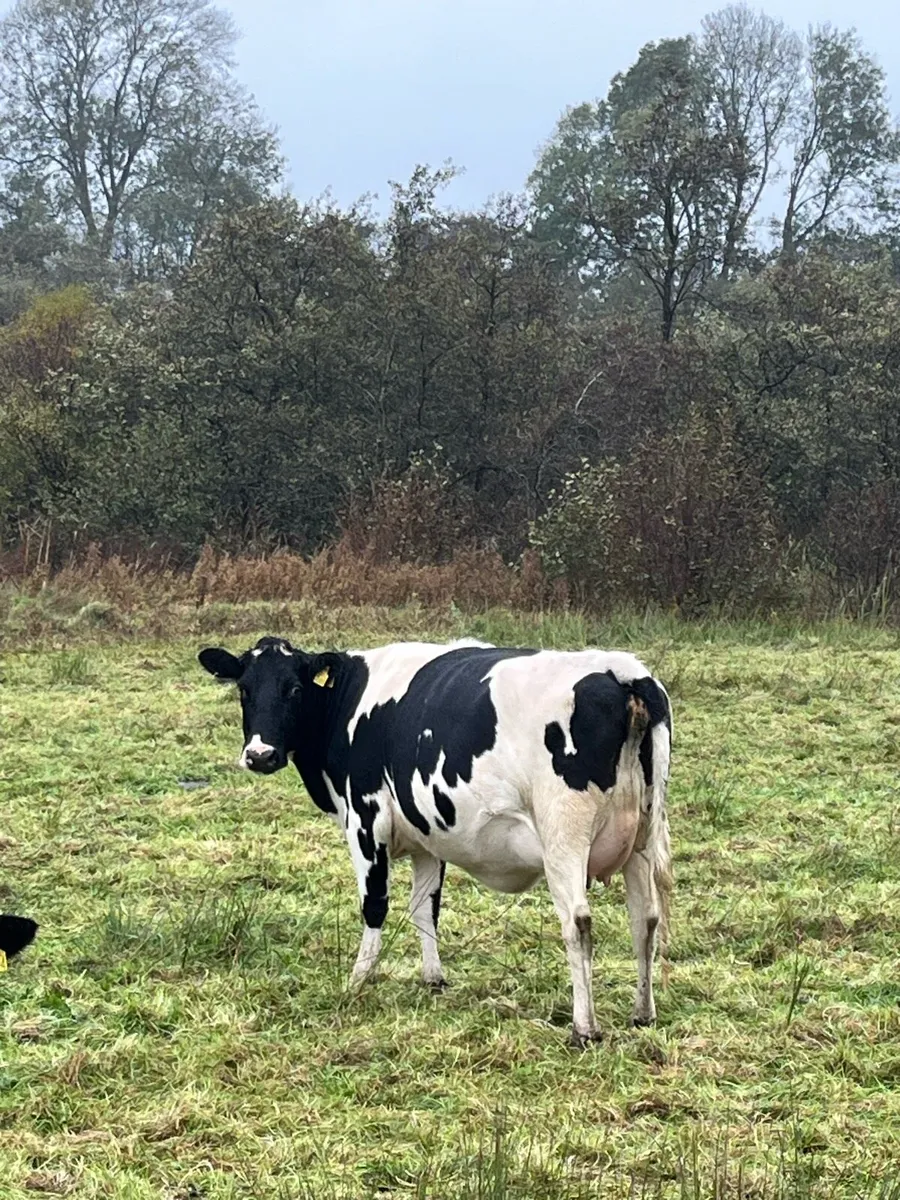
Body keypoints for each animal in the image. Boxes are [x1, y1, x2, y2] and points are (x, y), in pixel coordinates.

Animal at [198, 636, 672, 1047]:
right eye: (243, 689)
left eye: (294, 689)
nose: (260, 755)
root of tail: (621, 671)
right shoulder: (428, 836)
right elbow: (426, 907)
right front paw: (433, 978)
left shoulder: (366, 819)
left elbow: (375, 904)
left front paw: (357, 980)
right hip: (643, 835)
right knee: (645, 919)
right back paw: (643, 1013)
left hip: (564, 836)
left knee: (578, 923)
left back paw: (584, 1027)